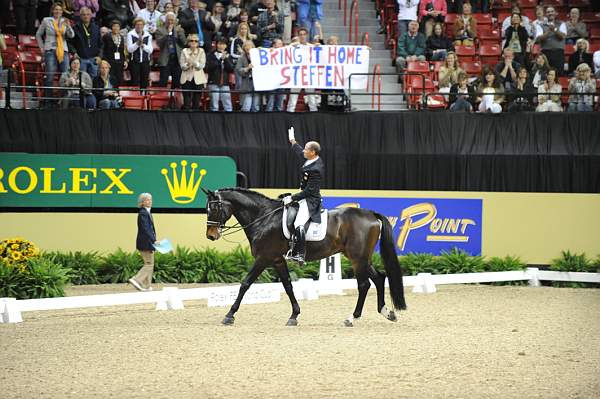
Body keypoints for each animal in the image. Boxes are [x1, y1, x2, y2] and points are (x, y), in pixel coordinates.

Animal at [204, 189, 406, 326]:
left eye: (214, 208)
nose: (211, 236)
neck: (264, 217)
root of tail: (371, 214)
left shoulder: (263, 258)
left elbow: (245, 284)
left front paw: (229, 315)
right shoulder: (277, 260)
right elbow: (287, 286)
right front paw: (294, 316)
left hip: (357, 259)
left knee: (364, 285)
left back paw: (351, 318)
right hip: (361, 258)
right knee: (379, 278)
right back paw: (387, 313)